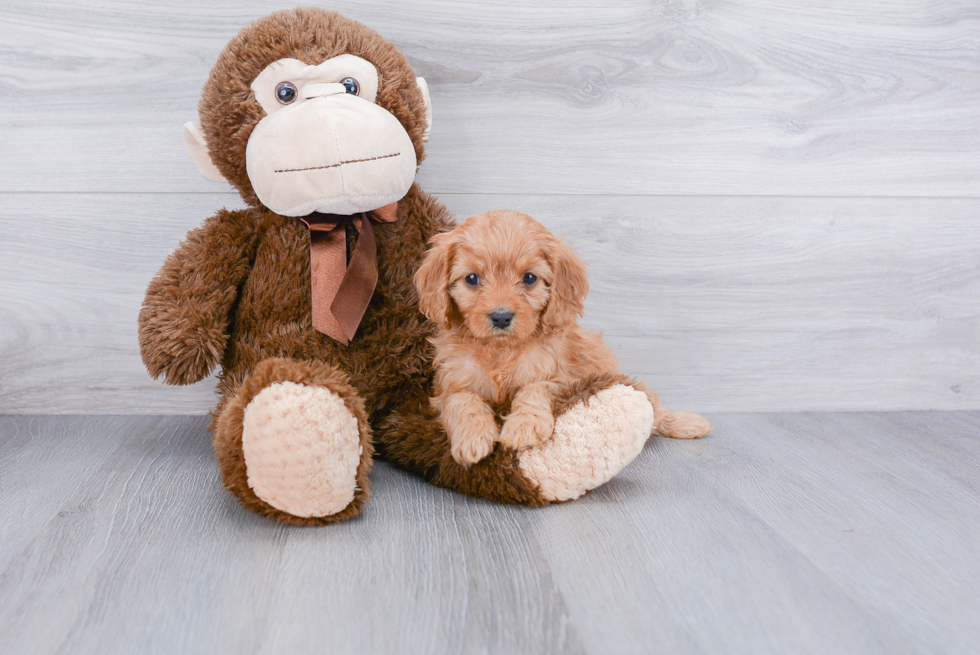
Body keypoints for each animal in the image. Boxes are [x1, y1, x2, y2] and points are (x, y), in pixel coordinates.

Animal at [416, 210, 712, 466]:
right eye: (472, 279)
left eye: (529, 278)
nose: (501, 317)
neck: (501, 350)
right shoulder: (450, 385)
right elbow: (462, 401)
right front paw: (473, 437)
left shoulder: (567, 379)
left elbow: (534, 388)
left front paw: (524, 426)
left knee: (656, 409)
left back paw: (689, 424)